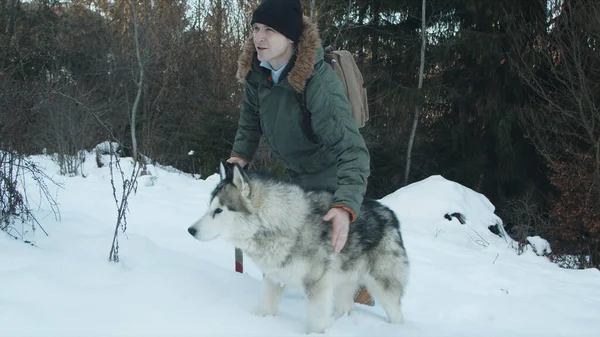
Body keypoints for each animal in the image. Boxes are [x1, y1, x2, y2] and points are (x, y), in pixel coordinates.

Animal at [190, 161, 410, 332]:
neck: (280, 225)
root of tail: (390, 214)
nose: (190, 230)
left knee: (397, 316)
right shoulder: (273, 279)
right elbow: (266, 309)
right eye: (209, 208)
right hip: (343, 284)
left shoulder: (317, 286)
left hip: (383, 287)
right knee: (347, 308)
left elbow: (316, 323)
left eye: (219, 210)